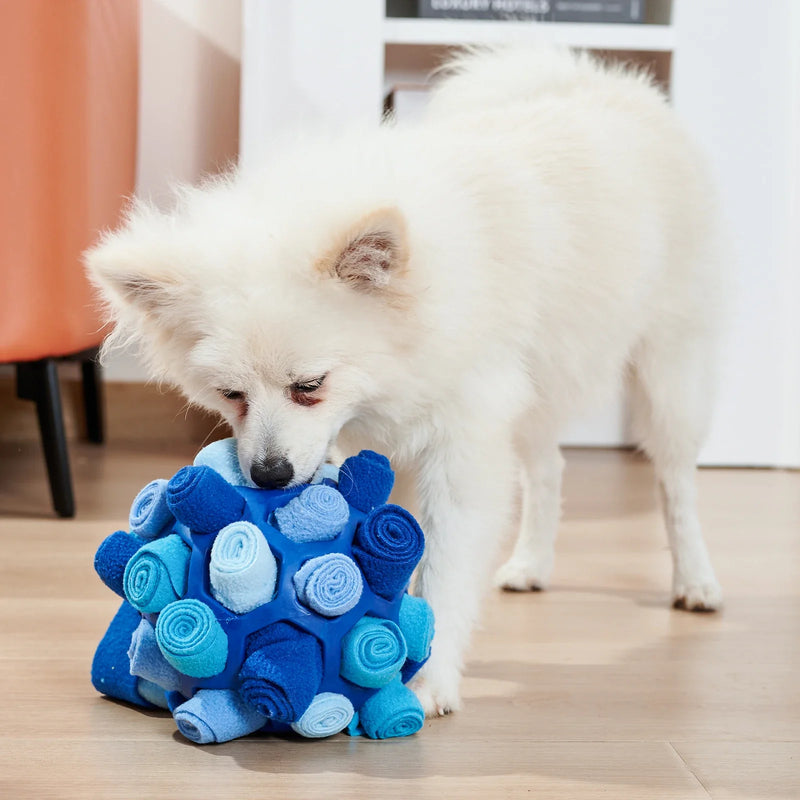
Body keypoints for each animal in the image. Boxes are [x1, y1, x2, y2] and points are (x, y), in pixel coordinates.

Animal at [86, 47, 724, 716]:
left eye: (309, 384)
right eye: (230, 396)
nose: (268, 476)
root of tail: (597, 79)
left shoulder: (464, 444)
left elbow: (444, 566)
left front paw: (426, 681)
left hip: (671, 368)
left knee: (675, 481)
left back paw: (695, 580)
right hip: (537, 390)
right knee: (549, 468)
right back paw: (531, 563)